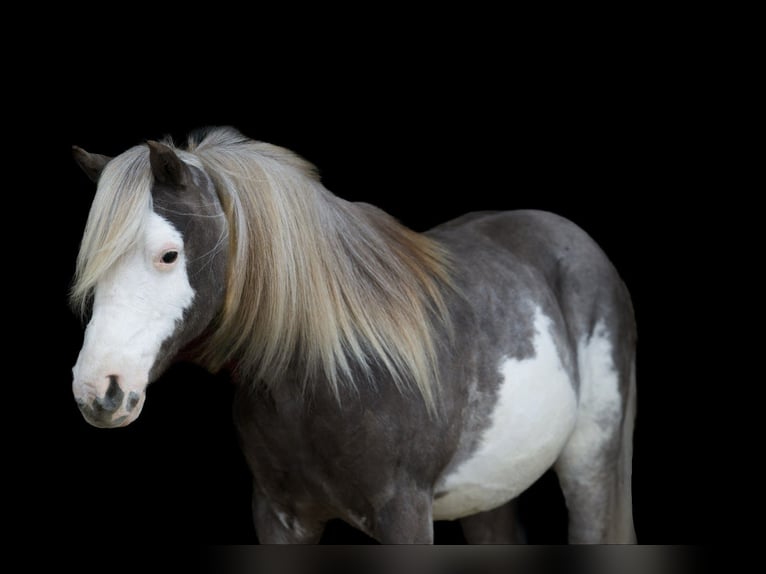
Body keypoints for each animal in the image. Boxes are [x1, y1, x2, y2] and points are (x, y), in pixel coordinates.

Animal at [70, 126, 636, 544]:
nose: (99, 390)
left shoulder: (406, 515)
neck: (332, 373)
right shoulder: (279, 519)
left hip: (591, 463)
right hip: (490, 491)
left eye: (168, 255)